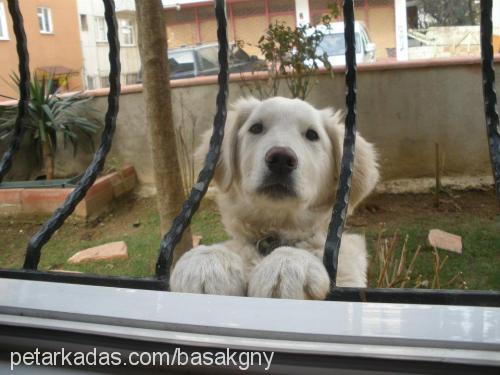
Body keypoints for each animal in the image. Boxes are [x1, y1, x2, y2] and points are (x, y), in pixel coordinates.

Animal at [170, 97, 376, 300]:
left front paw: (287, 262)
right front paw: (206, 259)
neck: (275, 232)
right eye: (256, 128)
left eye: (312, 135)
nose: (281, 159)